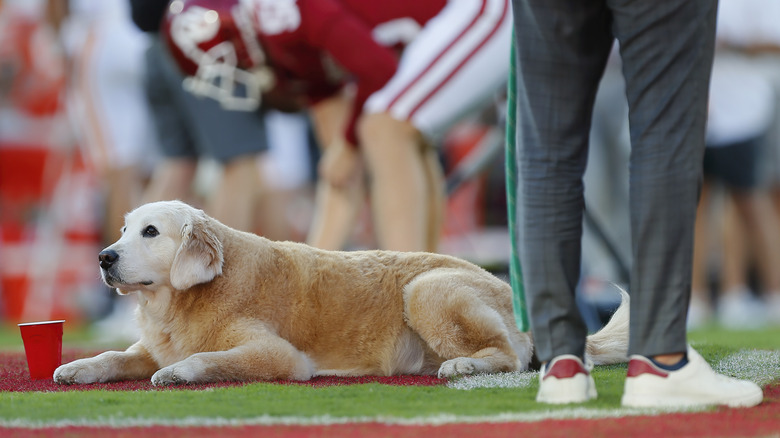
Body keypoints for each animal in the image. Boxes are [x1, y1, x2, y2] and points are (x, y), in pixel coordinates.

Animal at [53, 200, 628, 384]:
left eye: (151, 232)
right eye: (124, 230)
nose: (104, 257)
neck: (184, 301)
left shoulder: (278, 355)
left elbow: (208, 359)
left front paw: (178, 373)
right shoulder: (149, 346)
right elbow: (115, 356)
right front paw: (79, 366)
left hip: (426, 289)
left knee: (510, 355)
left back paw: (465, 365)